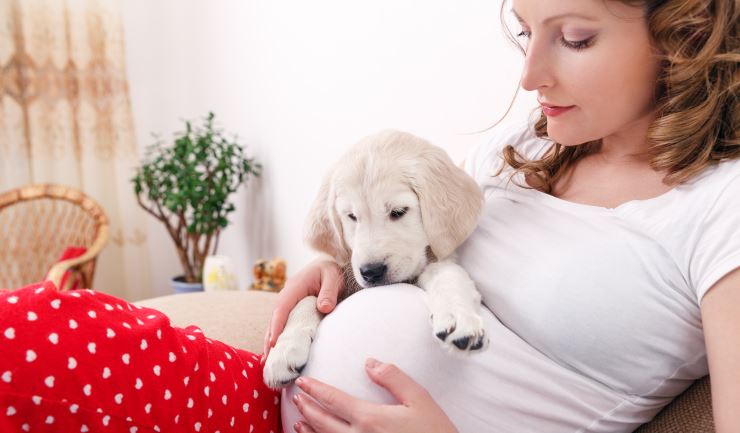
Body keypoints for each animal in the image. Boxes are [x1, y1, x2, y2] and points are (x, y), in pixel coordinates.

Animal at [264, 129, 488, 388]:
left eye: (399, 212)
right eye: (351, 216)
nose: (371, 272)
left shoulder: (436, 260)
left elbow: (448, 275)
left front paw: (458, 316)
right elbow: (307, 299)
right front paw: (284, 350)